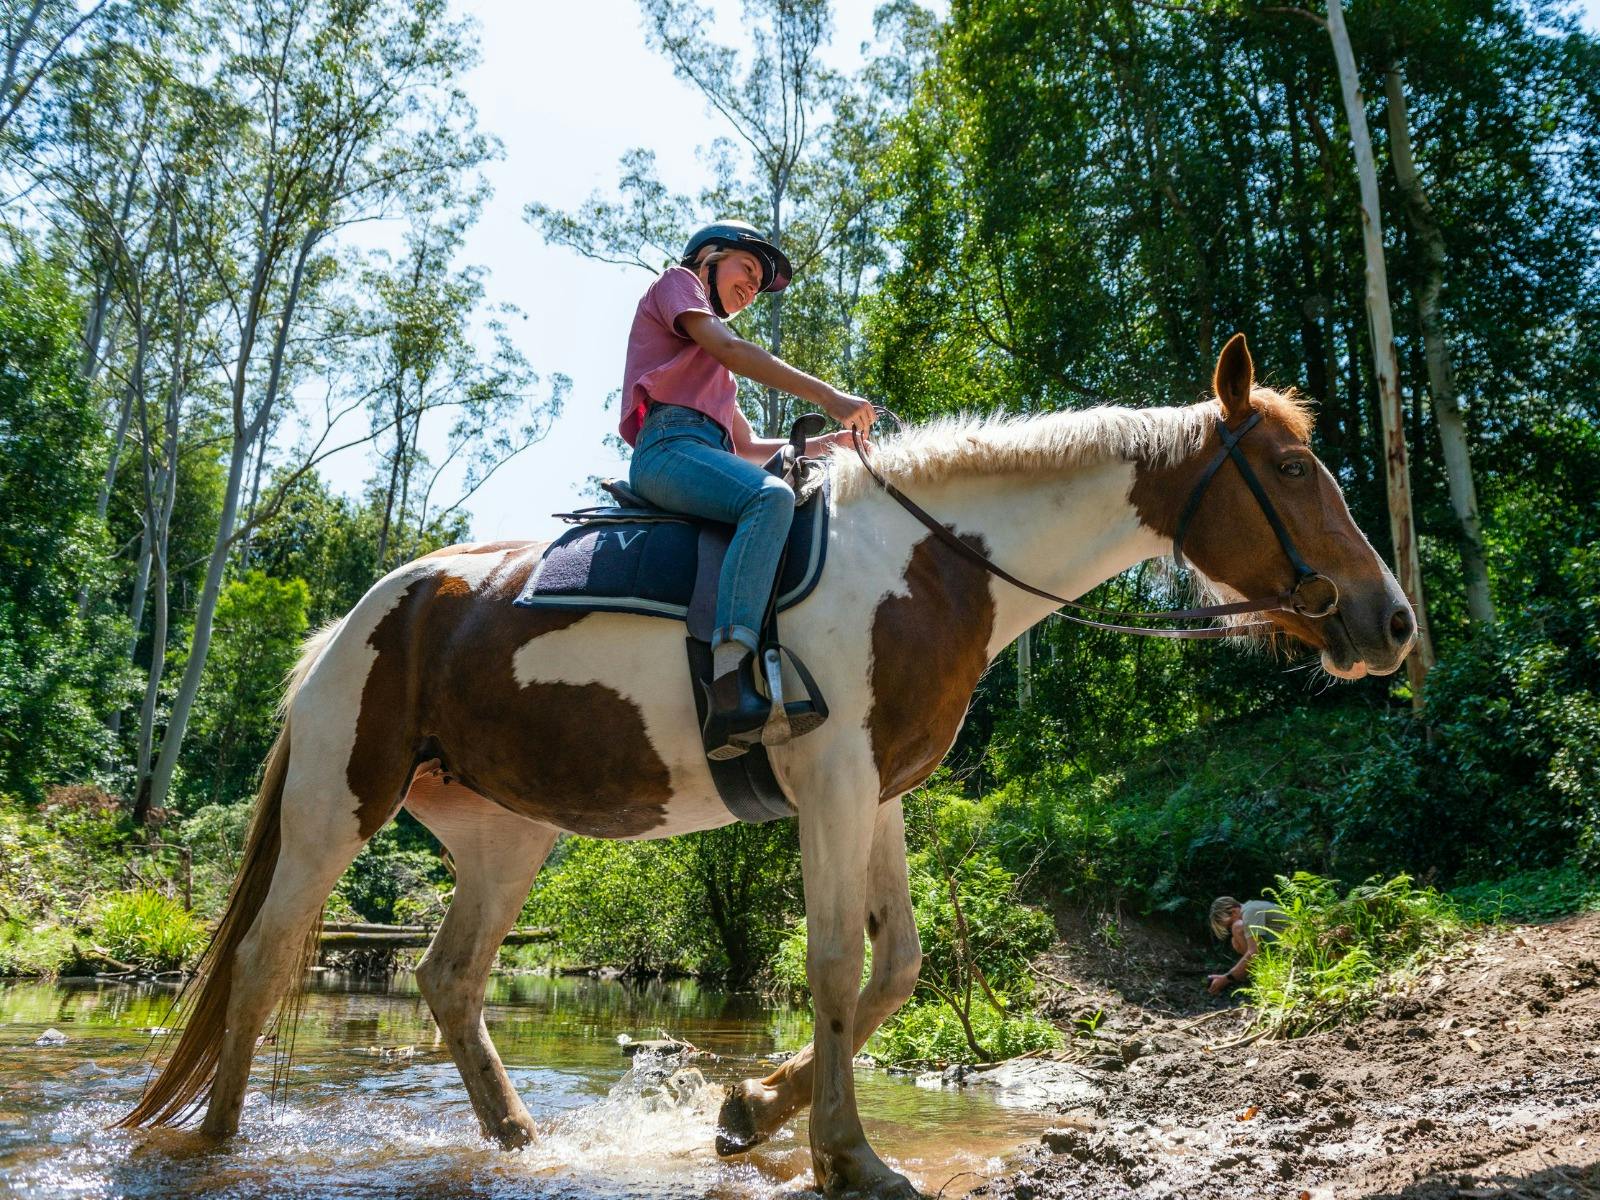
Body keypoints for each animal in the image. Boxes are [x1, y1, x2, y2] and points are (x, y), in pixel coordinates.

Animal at [120, 335, 1414, 1198]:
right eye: (1289, 472)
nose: (1389, 620)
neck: (931, 564)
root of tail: (350, 625)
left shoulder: (880, 796)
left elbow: (896, 968)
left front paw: (748, 1111)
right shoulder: (829, 786)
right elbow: (835, 966)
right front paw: (846, 1154)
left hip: (505, 834)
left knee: (447, 979)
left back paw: (520, 1141)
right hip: (339, 804)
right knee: (264, 960)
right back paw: (215, 1144)